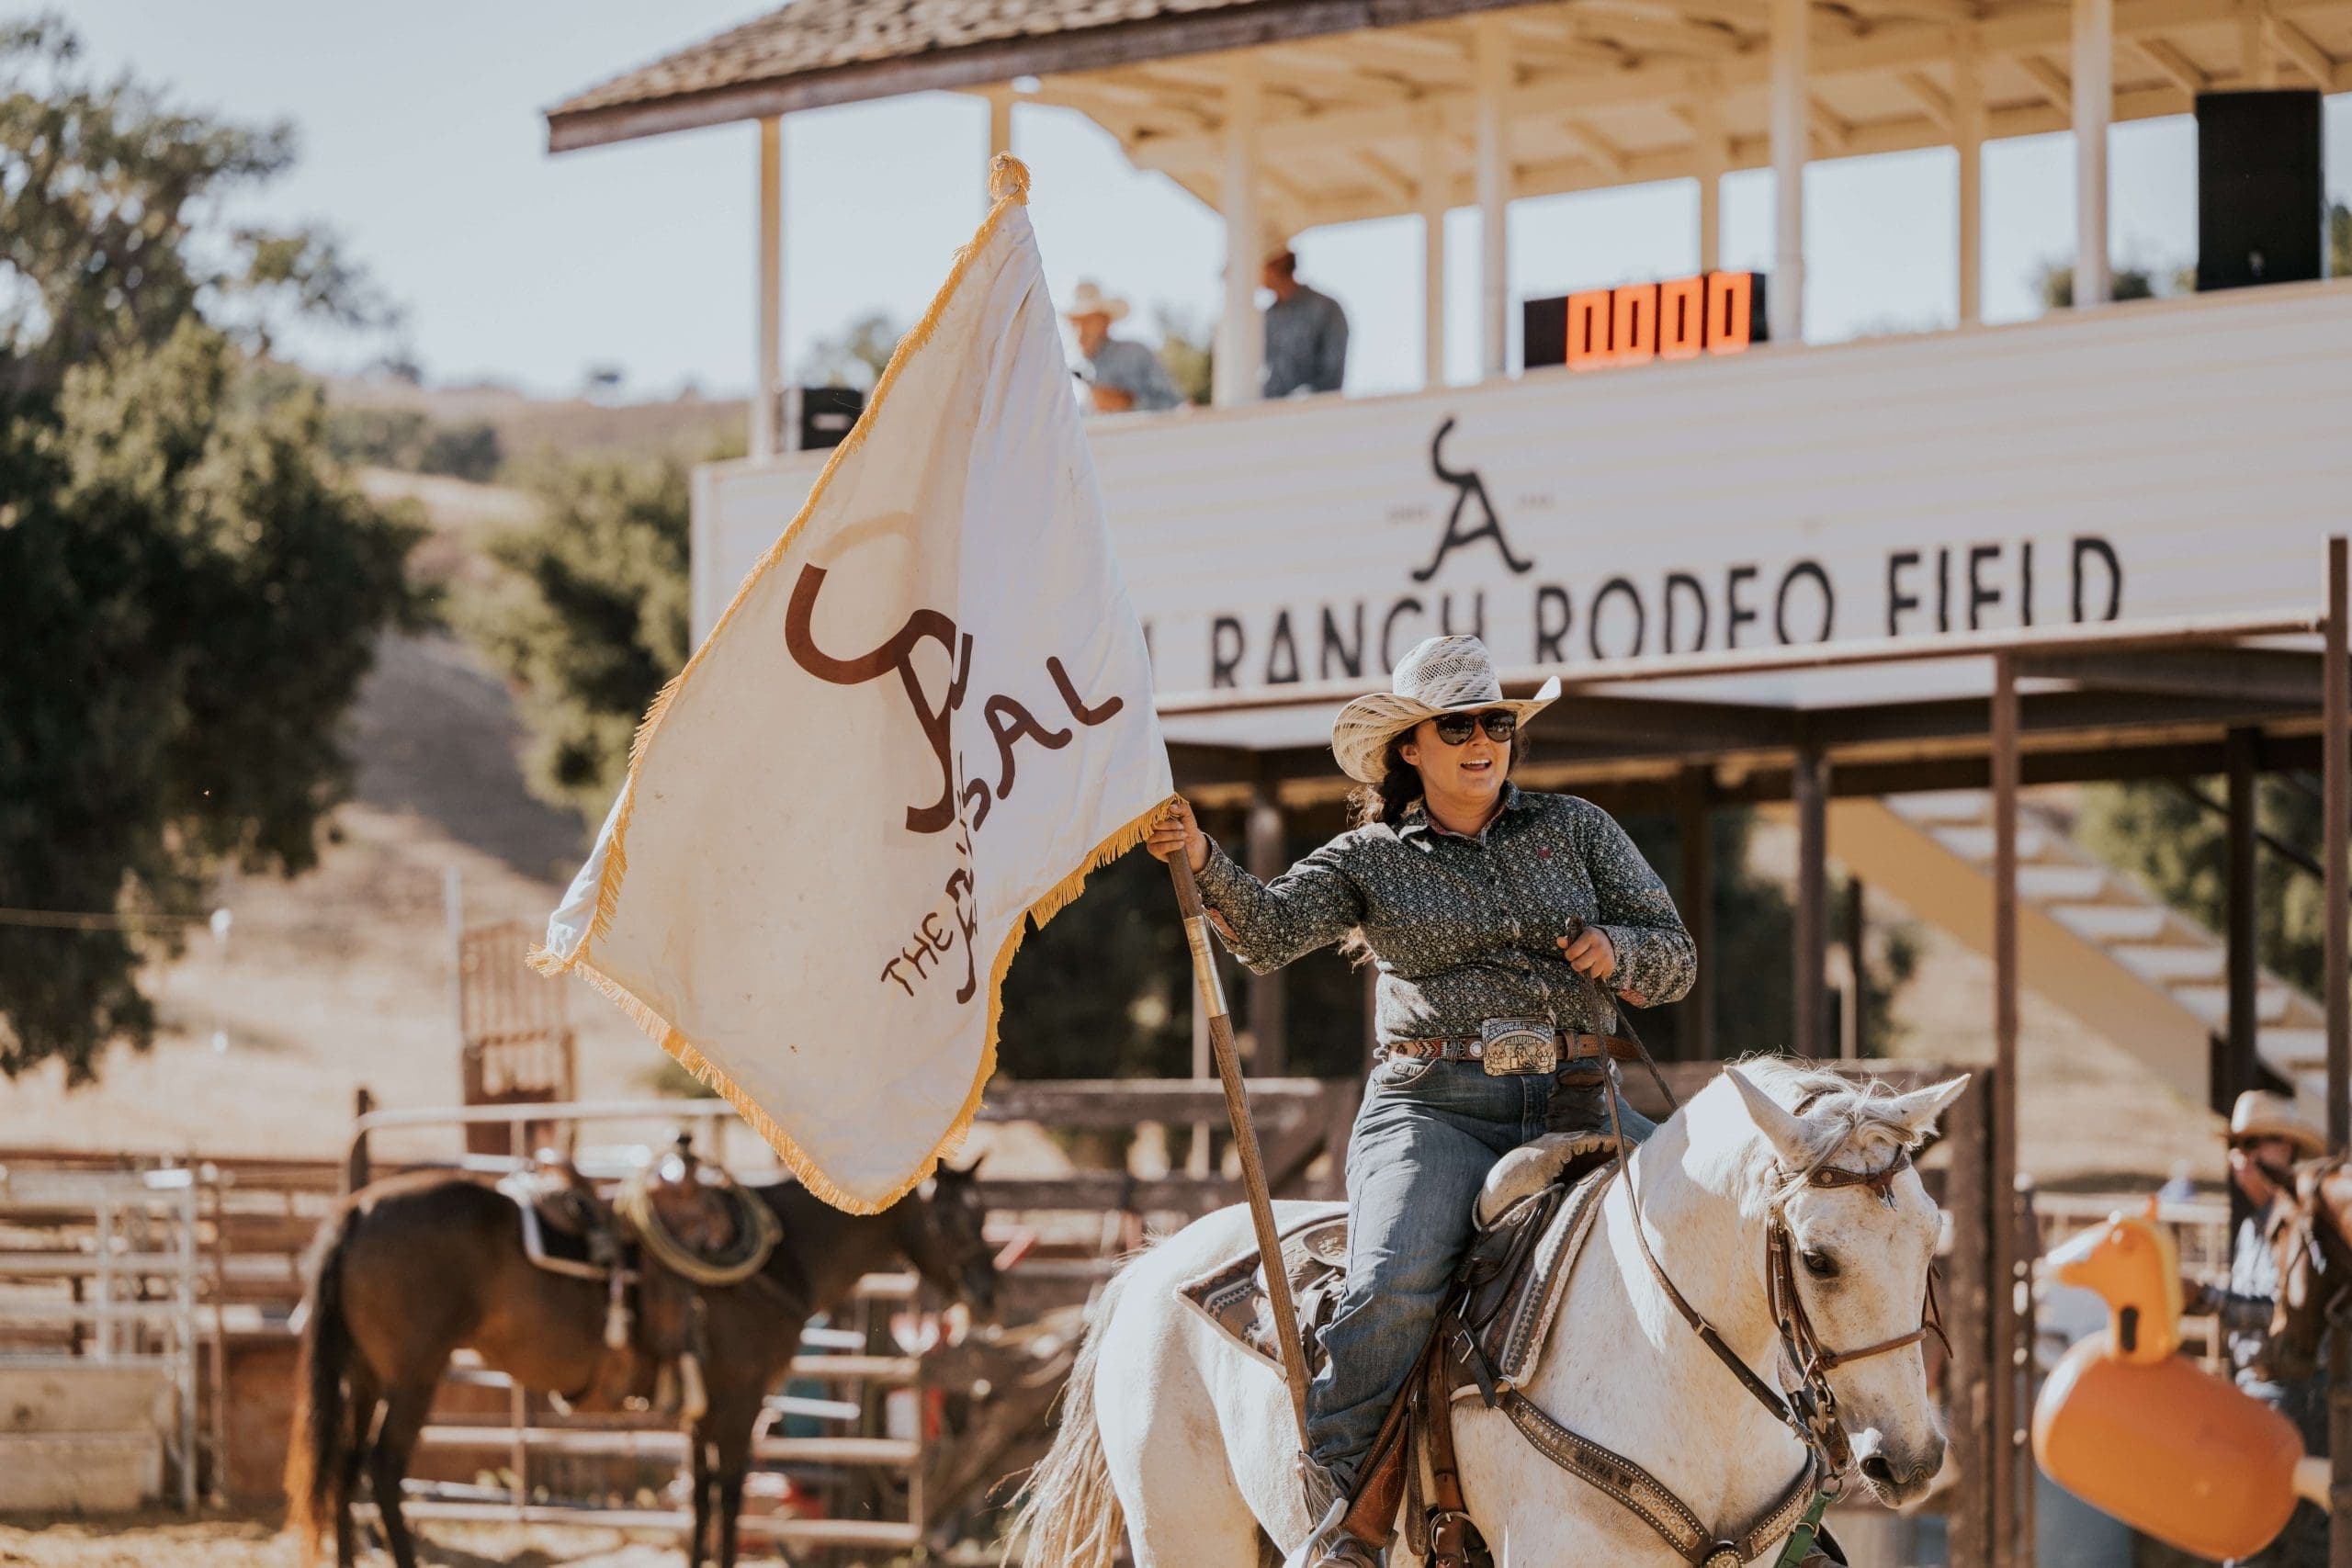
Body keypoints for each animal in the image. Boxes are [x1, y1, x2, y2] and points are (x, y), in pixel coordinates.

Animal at [288, 1166, 997, 1568]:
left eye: (986, 1212)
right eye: (952, 1217)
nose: (989, 1292)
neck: (779, 1259)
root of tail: (357, 1208)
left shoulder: (701, 1411)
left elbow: (702, 1498)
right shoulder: (740, 1402)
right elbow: (731, 1498)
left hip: (366, 1375)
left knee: (343, 1468)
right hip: (414, 1375)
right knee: (383, 1470)